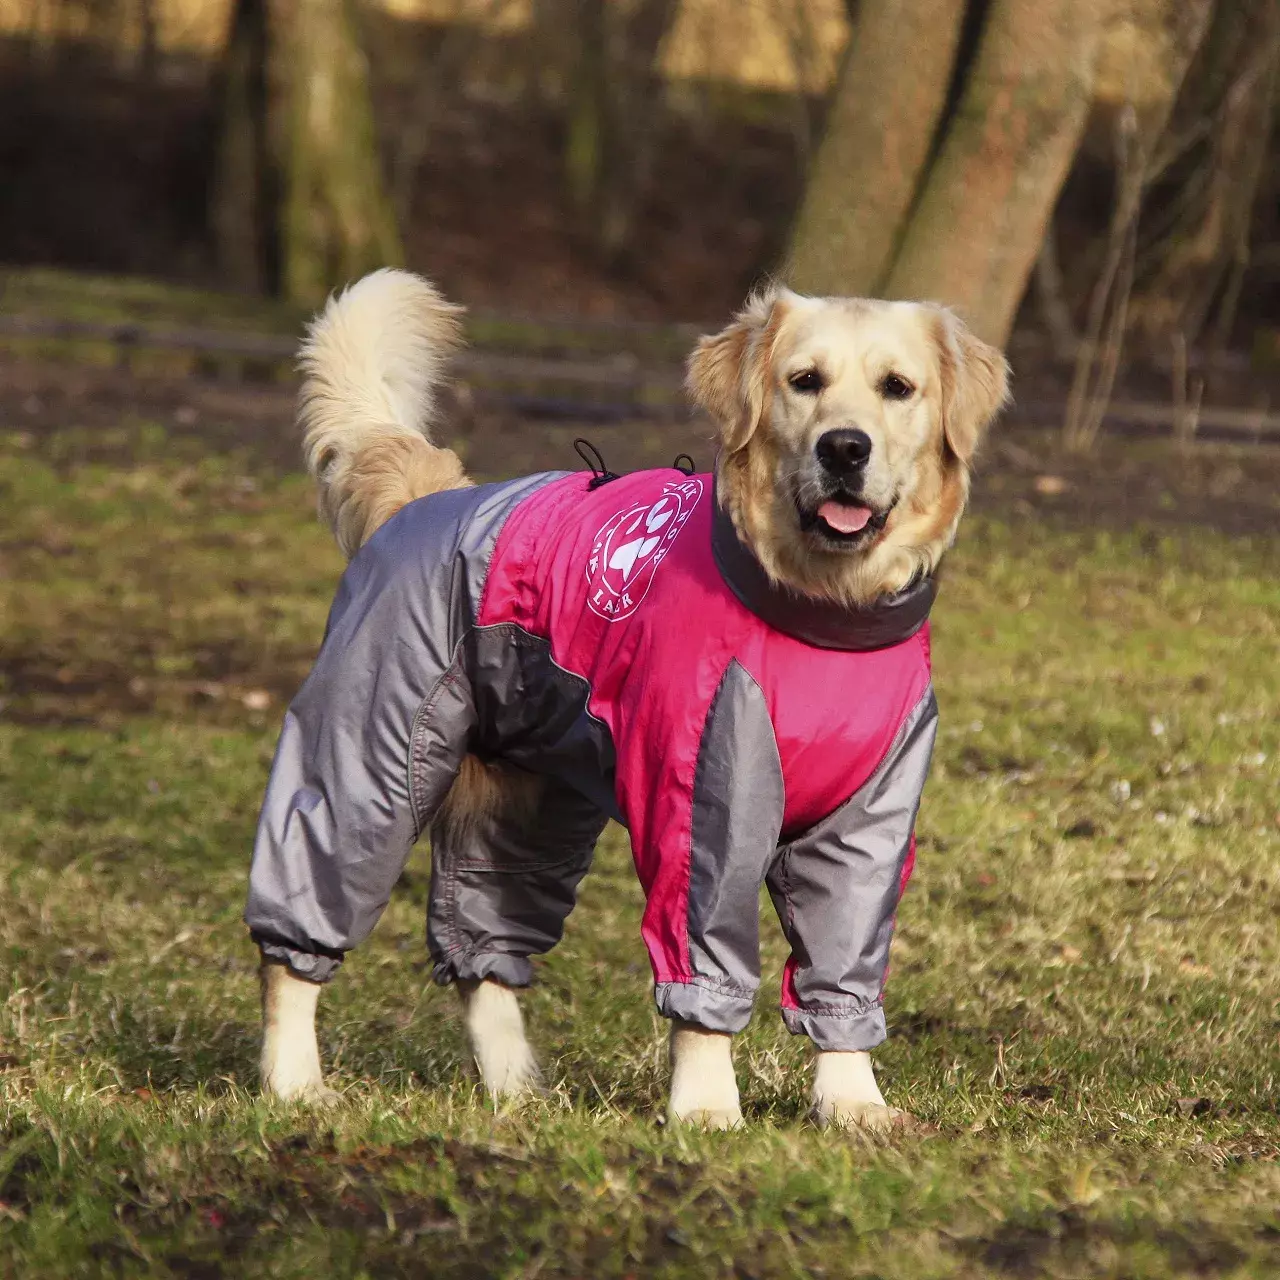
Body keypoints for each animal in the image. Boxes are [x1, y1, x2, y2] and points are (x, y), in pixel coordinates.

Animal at [254, 264, 1003, 1126]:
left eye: (897, 388)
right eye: (804, 382)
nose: (845, 447)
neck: (822, 617)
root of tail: (432, 497)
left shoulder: (870, 824)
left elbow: (843, 963)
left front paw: (851, 1102)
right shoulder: (705, 804)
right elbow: (703, 959)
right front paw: (706, 1107)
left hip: (529, 808)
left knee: (481, 952)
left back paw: (515, 1090)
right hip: (365, 761)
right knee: (302, 924)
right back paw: (293, 1079)